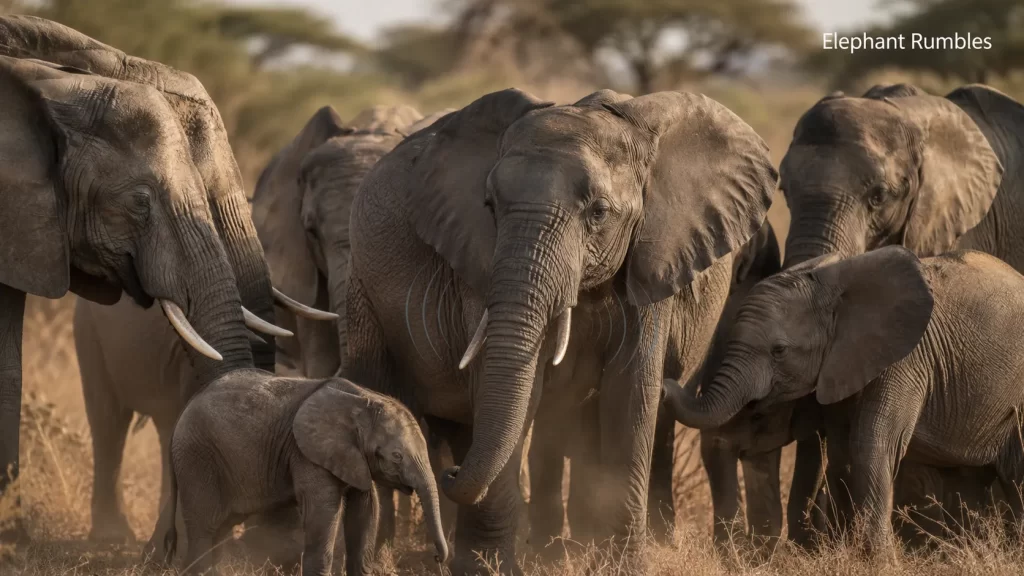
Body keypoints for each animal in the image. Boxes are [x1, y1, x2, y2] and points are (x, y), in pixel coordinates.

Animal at [159, 372, 449, 576]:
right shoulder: (306, 452)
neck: (363, 402)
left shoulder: (353, 458)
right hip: (197, 459)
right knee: (204, 529)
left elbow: (365, 510)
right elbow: (324, 512)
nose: (437, 558)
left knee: (219, 530)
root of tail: (180, 415)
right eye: (396, 456)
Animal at [345, 87, 777, 573]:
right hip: (361, 290)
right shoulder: (478, 260)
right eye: (490, 207)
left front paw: (622, 565)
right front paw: (488, 568)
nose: (450, 475)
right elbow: (513, 386)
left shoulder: (652, 256)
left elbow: (632, 391)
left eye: (599, 212)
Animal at [669, 246, 1024, 550]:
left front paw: (878, 560)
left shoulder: (907, 361)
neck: (833, 285)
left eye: (779, 351)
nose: (669, 380)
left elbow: (871, 445)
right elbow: (842, 455)